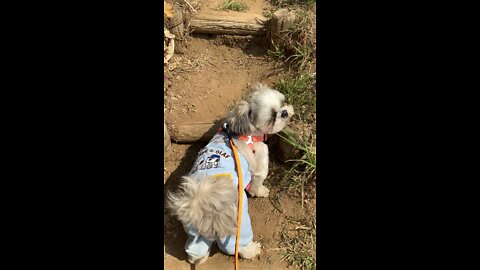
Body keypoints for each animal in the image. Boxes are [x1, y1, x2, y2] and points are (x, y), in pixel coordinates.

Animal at [167, 83, 294, 264]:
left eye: (283, 102)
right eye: (271, 117)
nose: (284, 112)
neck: (244, 131)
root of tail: (201, 203)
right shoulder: (260, 161)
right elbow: (258, 181)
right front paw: (261, 191)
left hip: (195, 230)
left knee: (195, 248)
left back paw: (198, 259)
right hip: (238, 223)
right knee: (237, 246)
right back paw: (251, 250)